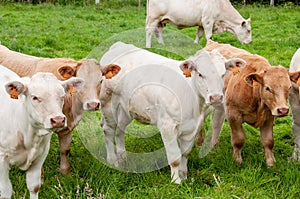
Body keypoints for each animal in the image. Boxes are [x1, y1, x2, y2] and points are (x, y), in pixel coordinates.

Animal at [0, 65, 84, 199]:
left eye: (62, 96)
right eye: (35, 97)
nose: (58, 120)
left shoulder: (40, 155)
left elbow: (34, 186)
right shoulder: (2, 159)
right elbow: (5, 191)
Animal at [99, 41, 245, 183]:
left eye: (223, 74)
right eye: (200, 74)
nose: (216, 97)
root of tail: (118, 45)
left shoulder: (194, 126)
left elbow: (185, 153)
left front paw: (184, 175)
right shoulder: (167, 126)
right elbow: (175, 157)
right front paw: (176, 181)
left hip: (125, 109)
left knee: (120, 130)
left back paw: (123, 158)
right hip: (108, 104)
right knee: (108, 130)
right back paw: (113, 160)